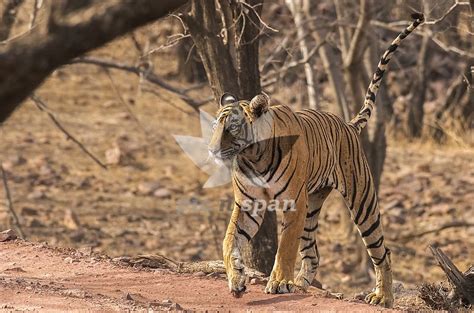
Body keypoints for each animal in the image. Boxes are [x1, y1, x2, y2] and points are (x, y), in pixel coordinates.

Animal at [209, 13, 424, 306]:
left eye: (231, 128)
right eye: (214, 128)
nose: (211, 150)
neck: (253, 157)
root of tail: (347, 123)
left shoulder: (294, 204)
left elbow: (285, 246)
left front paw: (279, 282)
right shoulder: (247, 204)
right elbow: (229, 241)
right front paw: (236, 279)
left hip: (362, 203)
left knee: (382, 251)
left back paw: (383, 297)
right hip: (312, 205)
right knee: (313, 254)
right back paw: (301, 285)